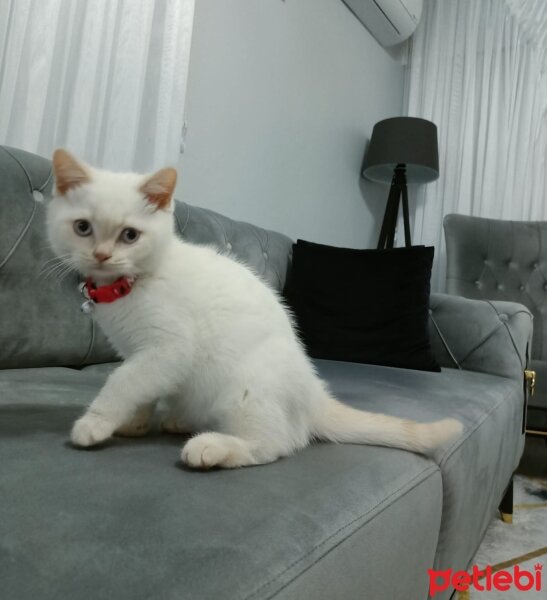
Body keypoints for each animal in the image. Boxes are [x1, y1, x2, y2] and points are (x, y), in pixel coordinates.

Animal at [47, 150, 462, 468]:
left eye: (130, 235)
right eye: (83, 227)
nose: (101, 255)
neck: (134, 283)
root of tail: (314, 394)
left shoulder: (168, 349)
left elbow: (123, 381)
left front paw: (97, 421)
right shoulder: (138, 353)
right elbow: (140, 385)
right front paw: (133, 422)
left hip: (248, 386)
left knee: (277, 444)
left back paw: (212, 447)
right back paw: (180, 421)